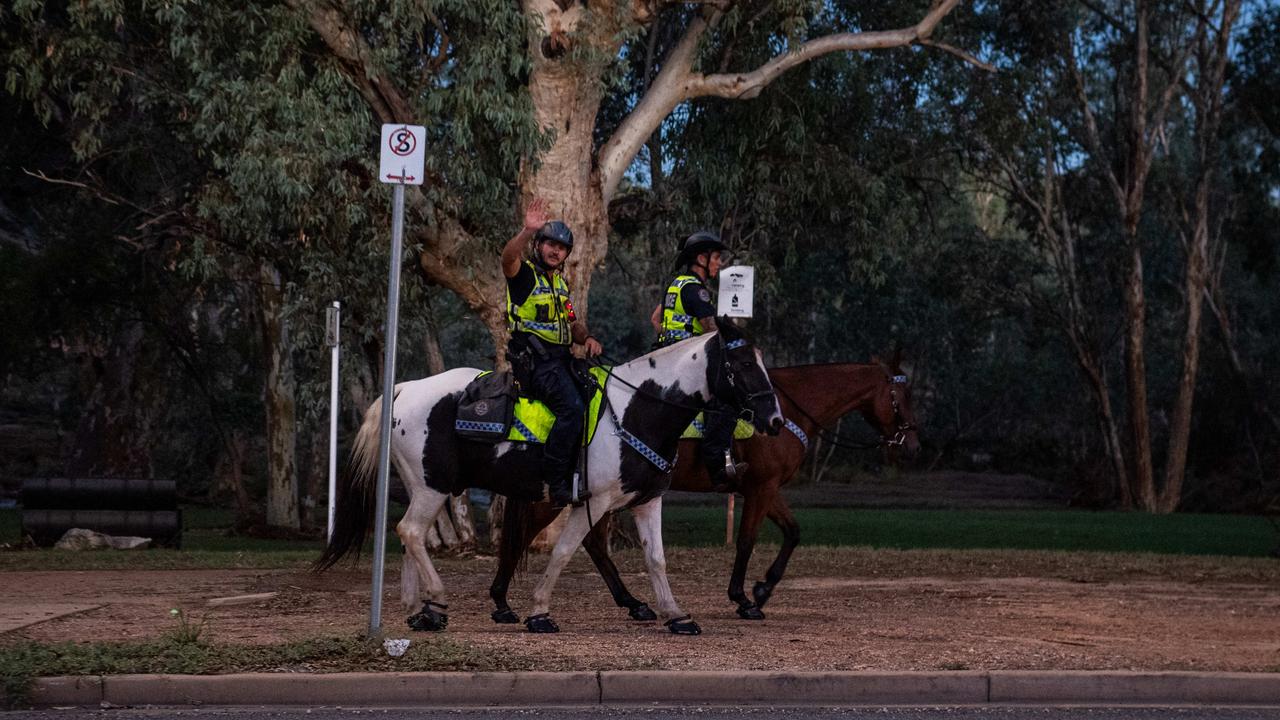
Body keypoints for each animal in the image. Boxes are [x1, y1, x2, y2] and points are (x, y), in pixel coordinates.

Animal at [317, 322, 778, 630]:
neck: (635, 410)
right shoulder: (592, 501)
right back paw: (439, 601)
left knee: (410, 535)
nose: (773, 419)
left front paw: (675, 614)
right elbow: (563, 552)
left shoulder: (647, 500)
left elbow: (656, 559)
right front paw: (539, 611)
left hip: (424, 487)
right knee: (411, 531)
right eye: (740, 363)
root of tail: (404, 388)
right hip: (433, 487)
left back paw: (420, 611)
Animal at [488, 356, 921, 620]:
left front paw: (762, 589)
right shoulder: (761, 488)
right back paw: (501, 599)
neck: (786, 409)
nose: (914, 445)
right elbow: (746, 540)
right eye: (901, 397)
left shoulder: (765, 488)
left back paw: (634, 603)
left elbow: (793, 532)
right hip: (563, 493)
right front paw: (744, 598)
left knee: (593, 543)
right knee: (529, 535)